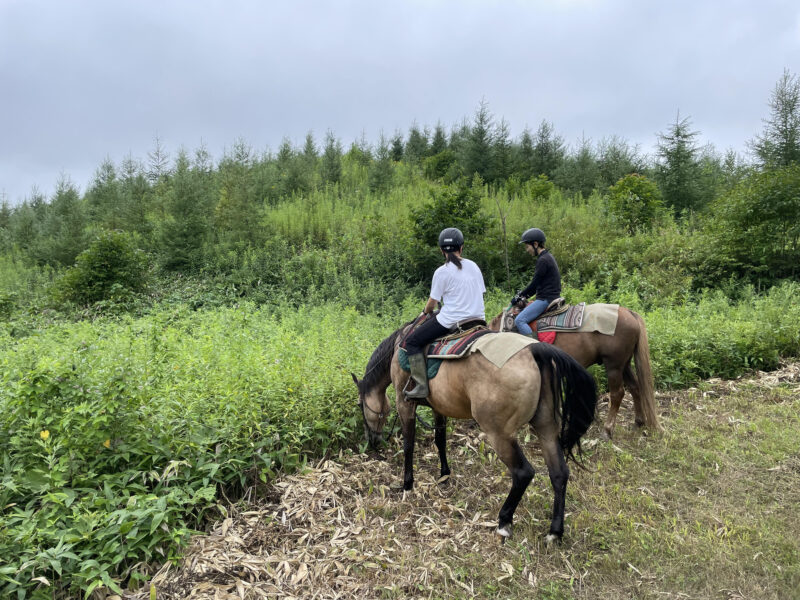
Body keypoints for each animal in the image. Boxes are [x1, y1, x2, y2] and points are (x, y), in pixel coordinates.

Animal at [354, 326, 596, 540]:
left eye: (360, 405)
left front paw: (407, 483)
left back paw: (504, 521)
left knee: (523, 473)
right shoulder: (439, 407)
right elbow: (440, 440)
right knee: (559, 473)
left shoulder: (404, 403)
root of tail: (535, 351)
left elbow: (408, 444)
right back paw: (555, 531)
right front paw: (444, 475)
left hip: (499, 434)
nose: (372, 440)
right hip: (546, 427)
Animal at [490, 304, 660, 436]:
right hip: (624, 364)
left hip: (614, 366)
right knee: (635, 387)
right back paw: (638, 422)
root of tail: (630, 313)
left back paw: (607, 430)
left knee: (618, 394)